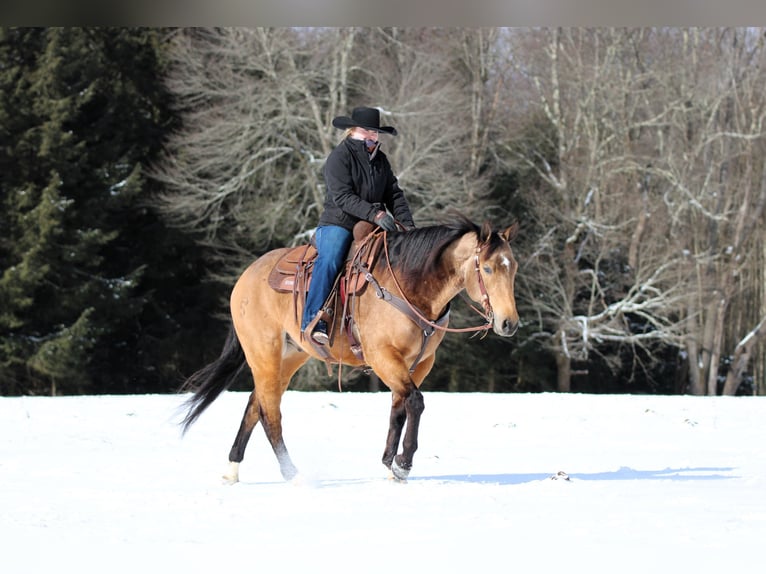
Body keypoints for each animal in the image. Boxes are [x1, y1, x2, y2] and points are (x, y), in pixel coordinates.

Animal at [180, 217, 520, 486]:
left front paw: (390, 466)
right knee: (269, 411)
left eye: (513, 267)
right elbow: (415, 402)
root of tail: (246, 277)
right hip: (264, 353)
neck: (410, 286)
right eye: (487, 268)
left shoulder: (419, 363)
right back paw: (293, 474)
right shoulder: (382, 357)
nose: (509, 323)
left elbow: (399, 408)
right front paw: (402, 463)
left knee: (256, 404)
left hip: (290, 356)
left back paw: (232, 471)